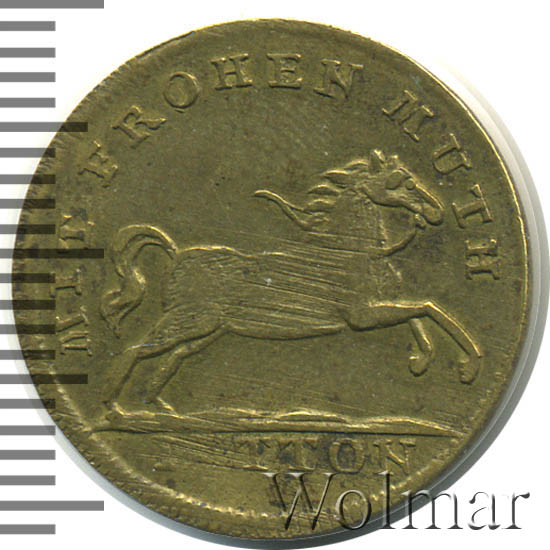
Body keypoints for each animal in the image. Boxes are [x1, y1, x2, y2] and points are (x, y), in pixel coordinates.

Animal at [99, 149, 482, 415]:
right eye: (398, 182)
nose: (434, 211)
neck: (355, 250)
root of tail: (177, 251)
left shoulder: (380, 305)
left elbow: (420, 313)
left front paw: (421, 359)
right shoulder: (362, 316)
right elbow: (429, 308)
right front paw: (468, 365)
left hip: (209, 330)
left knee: (174, 355)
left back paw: (155, 404)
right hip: (188, 321)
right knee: (136, 348)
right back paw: (113, 407)